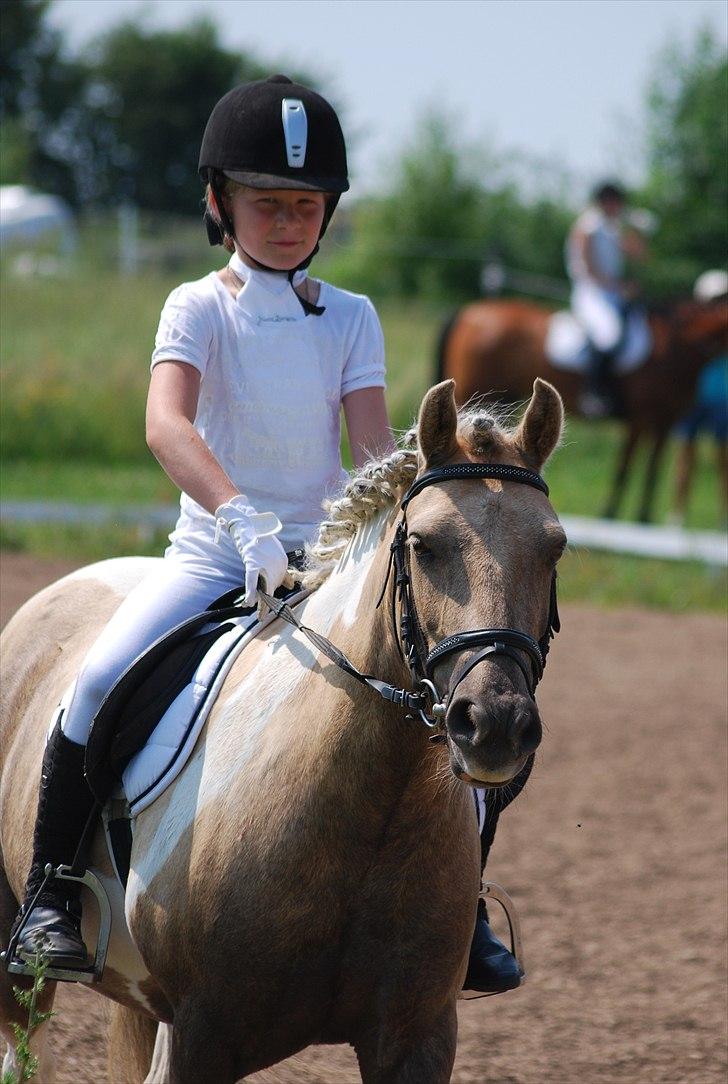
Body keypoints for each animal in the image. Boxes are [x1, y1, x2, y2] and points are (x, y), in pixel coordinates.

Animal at [0, 377, 567, 1079]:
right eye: (424, 545)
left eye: (554, 548)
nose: (495, 726)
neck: (369, 810)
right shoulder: (198, 1037)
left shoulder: (419, 1039)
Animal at [437, 294, 728, 518]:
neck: (676, 346)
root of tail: (472, 311)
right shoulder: (639, 419)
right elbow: (625, 467)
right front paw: (610, 513)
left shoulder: (665, 420)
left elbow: (652, 472)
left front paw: (643, 518)